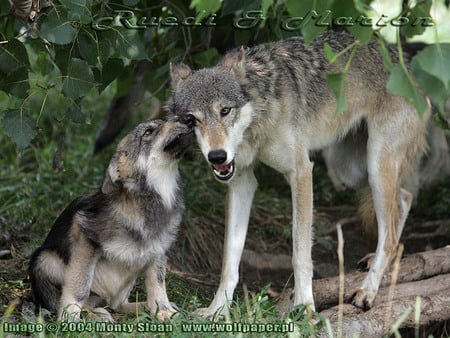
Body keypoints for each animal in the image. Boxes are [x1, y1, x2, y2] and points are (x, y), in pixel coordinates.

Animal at [29, 115, 194, 320]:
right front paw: (69, 319)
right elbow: (79, 289)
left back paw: (143, 308)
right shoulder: (85, 241)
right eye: (148, 132)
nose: (190, 118)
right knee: (75, 302)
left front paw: (163, 312)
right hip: (44, 260)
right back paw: (95, 315)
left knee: (117, 304)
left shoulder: (157, 248)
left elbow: (157, 284)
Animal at [167, 29, 430, 316]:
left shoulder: (301, 171)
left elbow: (300, 254)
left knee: (391, 234)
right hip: (350, 171)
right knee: (404, 200)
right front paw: (216, 310)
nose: (217, 156)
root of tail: (407, 68)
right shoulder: (241, 182)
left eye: (225, 110)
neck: (259, 119)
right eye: (192, 120)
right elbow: (229, 262)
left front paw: (304, 305)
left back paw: (367, 291)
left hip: (374, 166)